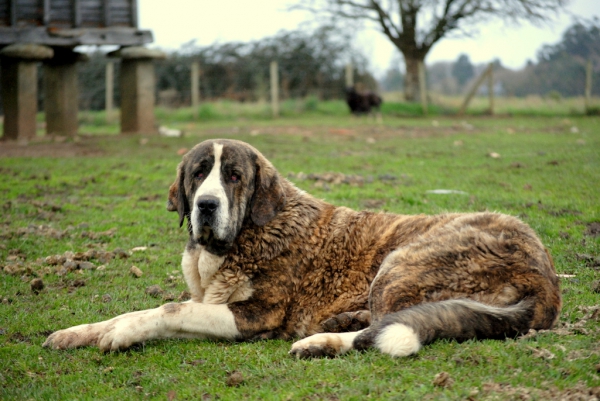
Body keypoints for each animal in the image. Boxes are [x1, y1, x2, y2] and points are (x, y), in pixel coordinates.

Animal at [43, 139, 564, 358]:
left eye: (234, 176)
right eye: (197, 174)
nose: (207, 205)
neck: (247, 235)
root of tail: (547, 279)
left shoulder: (254, 316)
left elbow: (168, 310)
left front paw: (124, 334)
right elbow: (140, 310)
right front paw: (78, 333)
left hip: (400, 262)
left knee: (387, 328)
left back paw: (320, 342)